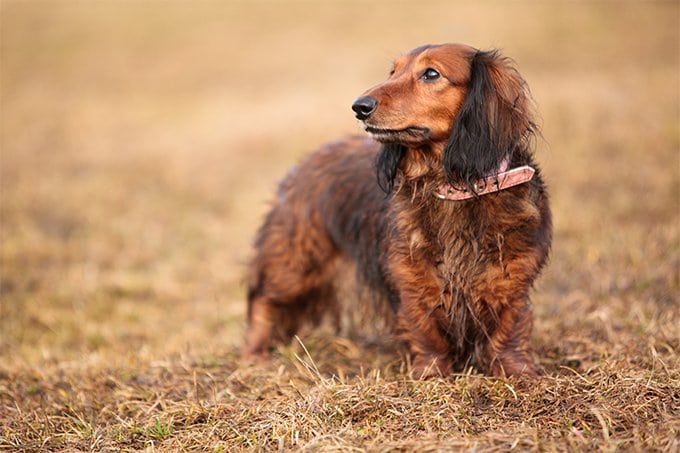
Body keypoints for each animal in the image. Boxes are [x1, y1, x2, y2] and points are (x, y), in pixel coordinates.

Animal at [242, 44, 548, 378]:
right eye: (393, 71)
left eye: (431, 73)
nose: (359, 106)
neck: (451, 188)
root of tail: (306, 160)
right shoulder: (411, 280)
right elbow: (426, 331)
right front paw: (431, 373)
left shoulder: (513, 279)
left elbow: (508, 329)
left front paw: (517, 371)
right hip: (296, 264)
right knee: (262, 301)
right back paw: (254, 355)